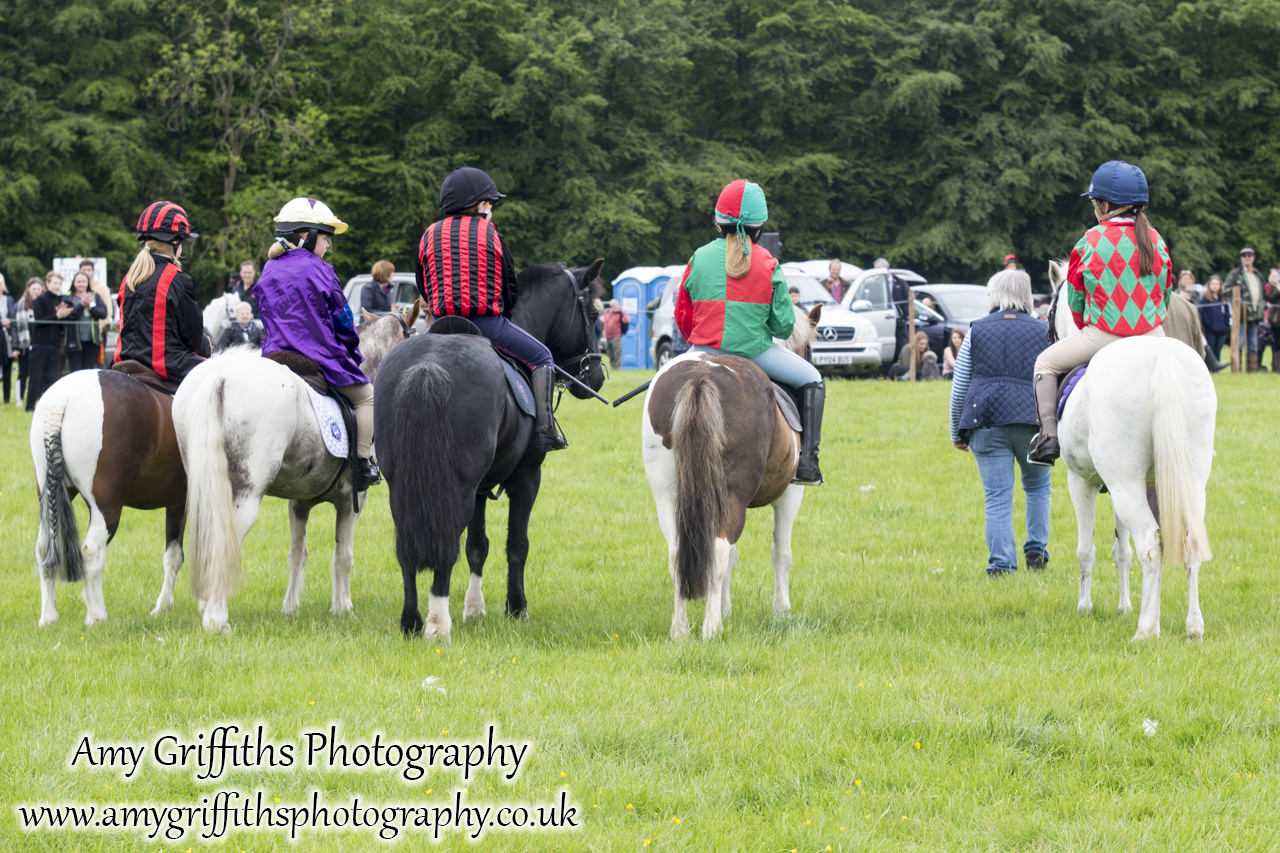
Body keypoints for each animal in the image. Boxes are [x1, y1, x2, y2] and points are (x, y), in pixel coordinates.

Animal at [171, 308, 414, 627]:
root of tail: (221, 374)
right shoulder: (352, 500)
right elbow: (343, 556)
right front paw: (343, 609)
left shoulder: (299, 503)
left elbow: (297, 552)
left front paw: (291, 608)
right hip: (245, 497)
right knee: (225, 545)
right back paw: (216, 618)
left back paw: (207, 604)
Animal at [373, 258, 604, 637]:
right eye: (595, 315)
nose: (596, 375)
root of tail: (427, 366)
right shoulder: (526, 479)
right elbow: (517, 544)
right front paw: (516, 606)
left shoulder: (481, 489)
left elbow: (477, 546)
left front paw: (474, 608)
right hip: (457, 487)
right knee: (445, 542)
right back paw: (438, 623)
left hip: (403, 485)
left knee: (407, 548)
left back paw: (412, 621)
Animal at [640, 302, 819, 635]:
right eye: (810, 348)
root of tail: (700, 375)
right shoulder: (790, 494)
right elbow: (781, 553)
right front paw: (782, 612)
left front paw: (725, 608)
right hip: (733, 496)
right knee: (719, 548)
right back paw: (711, 629)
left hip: (669, 496)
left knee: (678, 553)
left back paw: (680, 630)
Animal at [1044, 258, 1213, 637]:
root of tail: (1161, 358)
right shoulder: (1124, 485)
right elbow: (1122, 549)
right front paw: (1125, 606)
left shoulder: (1084, 482)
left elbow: (1087, 549)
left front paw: (1085, 607)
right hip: (1188, 481)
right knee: (1188, 542)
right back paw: (1192, 626)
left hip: (1124, 484)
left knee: (1151, 543)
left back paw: (1147, 630)